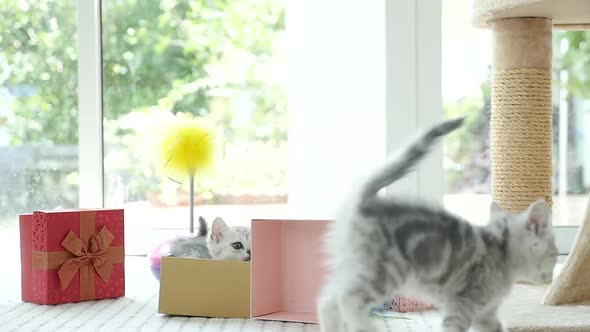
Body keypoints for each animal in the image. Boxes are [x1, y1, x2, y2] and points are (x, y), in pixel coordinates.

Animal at [320, 118, 560, 332]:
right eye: (554, 254)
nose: (551, 277)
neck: (502, 253)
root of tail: (367, 200)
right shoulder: (461, 305)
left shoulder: (486, 314)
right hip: (385, 271)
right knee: (347, 299)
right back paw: (365, 327)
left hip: (355, 266)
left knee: (328, 301)